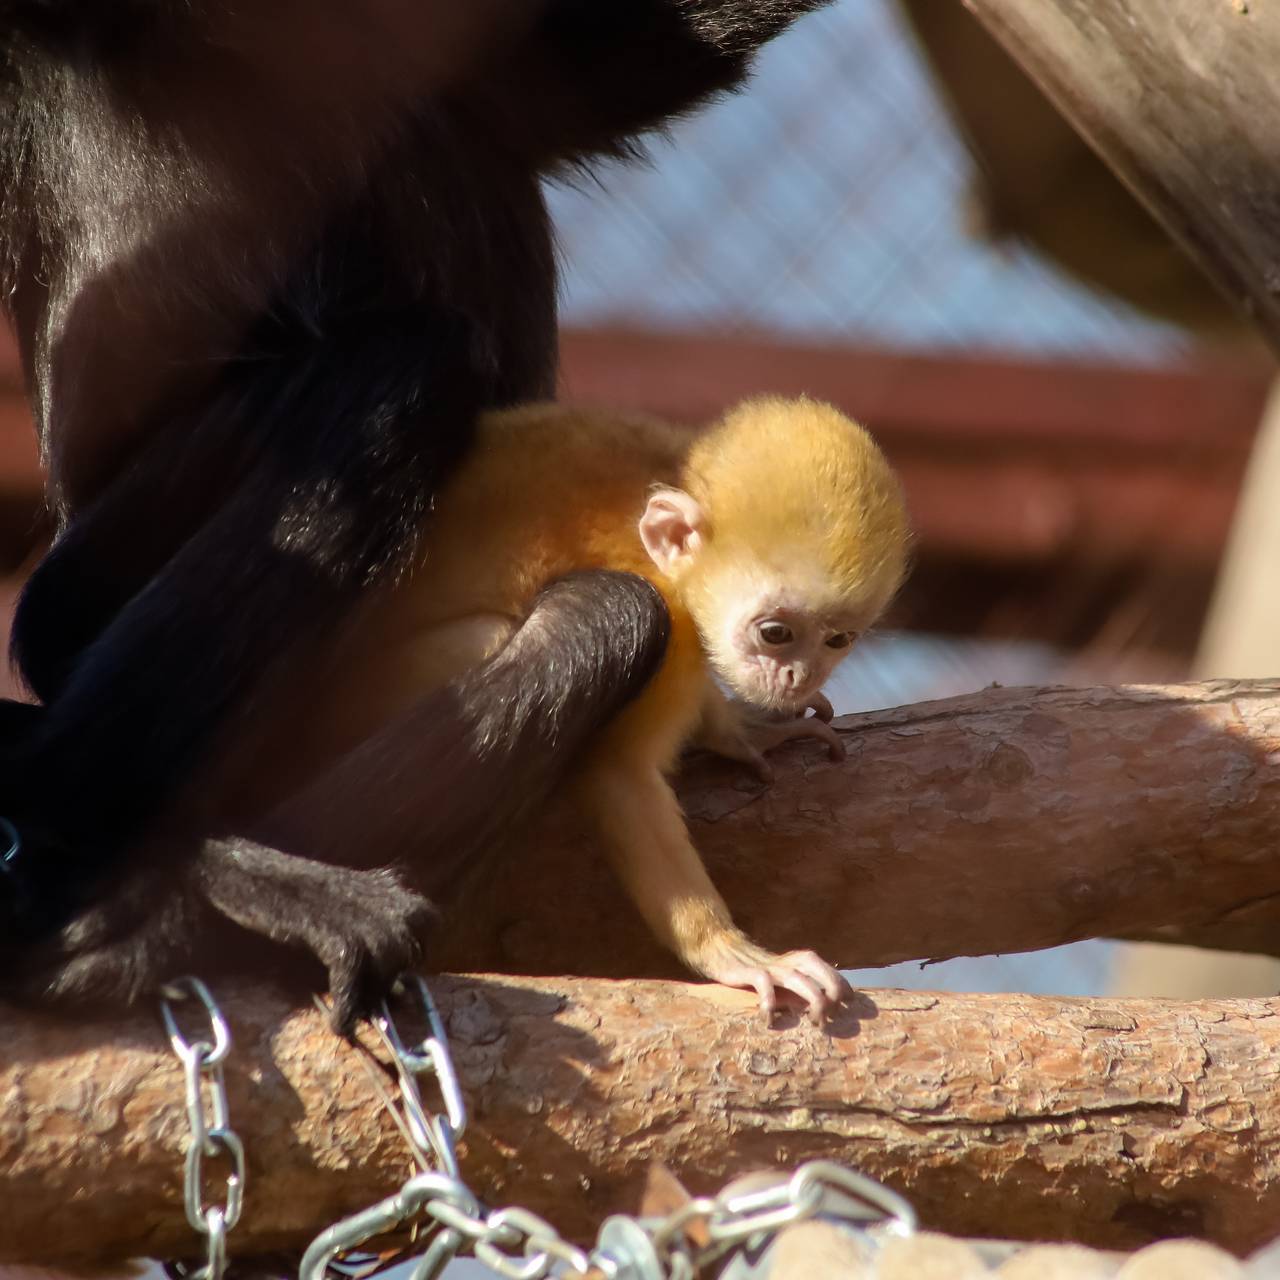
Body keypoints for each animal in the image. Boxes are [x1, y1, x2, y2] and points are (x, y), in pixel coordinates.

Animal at [291, 394, 911, 1024]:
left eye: (837, 641)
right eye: (776, 633)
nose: (796, 677)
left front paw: (740, 727)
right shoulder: (667, 615)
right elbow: (620, 775)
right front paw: (731, 954)